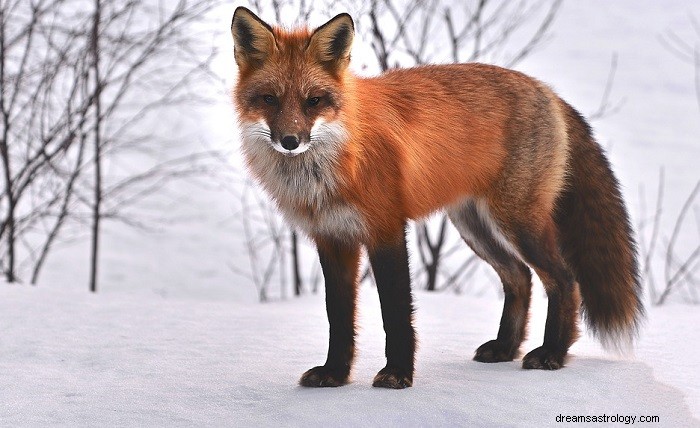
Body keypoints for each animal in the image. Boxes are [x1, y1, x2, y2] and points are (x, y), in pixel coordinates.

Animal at [231, 6, 644, 390]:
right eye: (269, 99)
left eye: (313, 101)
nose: (290, 141)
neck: (335, 162)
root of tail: (547, 90)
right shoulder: (333, 239)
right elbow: (339, 317)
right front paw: (335, 374)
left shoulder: (386, 229)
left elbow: (396, 312)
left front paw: (398, 374)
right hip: (475, 227)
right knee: (520, 277)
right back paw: (505, 348)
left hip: (517, 222)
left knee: (564, 279)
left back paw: (553, 354)